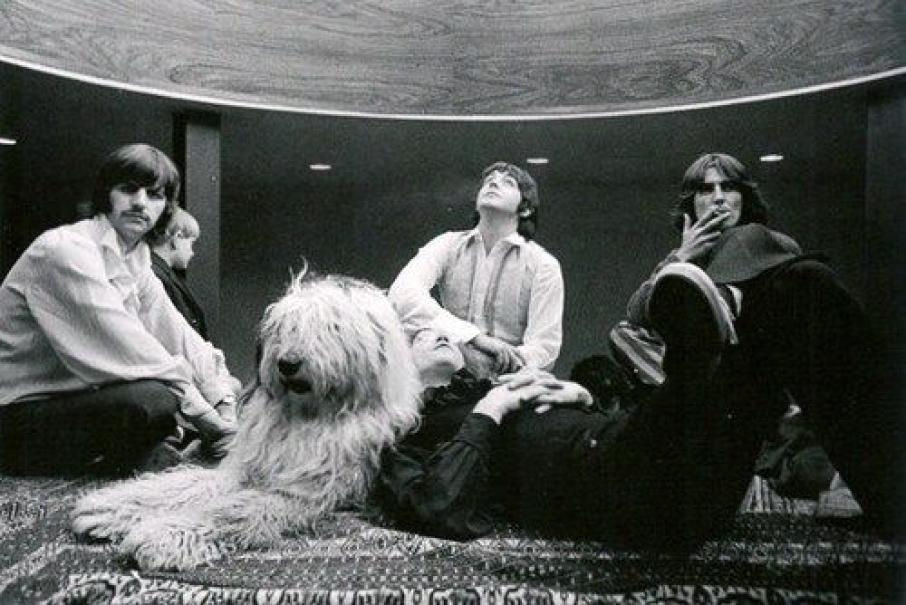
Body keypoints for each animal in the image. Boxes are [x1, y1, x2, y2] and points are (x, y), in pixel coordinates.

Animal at [71, 272, 422, 570]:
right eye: (287, 327)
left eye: (332, 327)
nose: (288, 363)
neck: (307, 417)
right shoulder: (244, 467)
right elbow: (185, 486)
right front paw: (113, 507)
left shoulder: (304, 492)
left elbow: (231, 510)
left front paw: (163, 535)